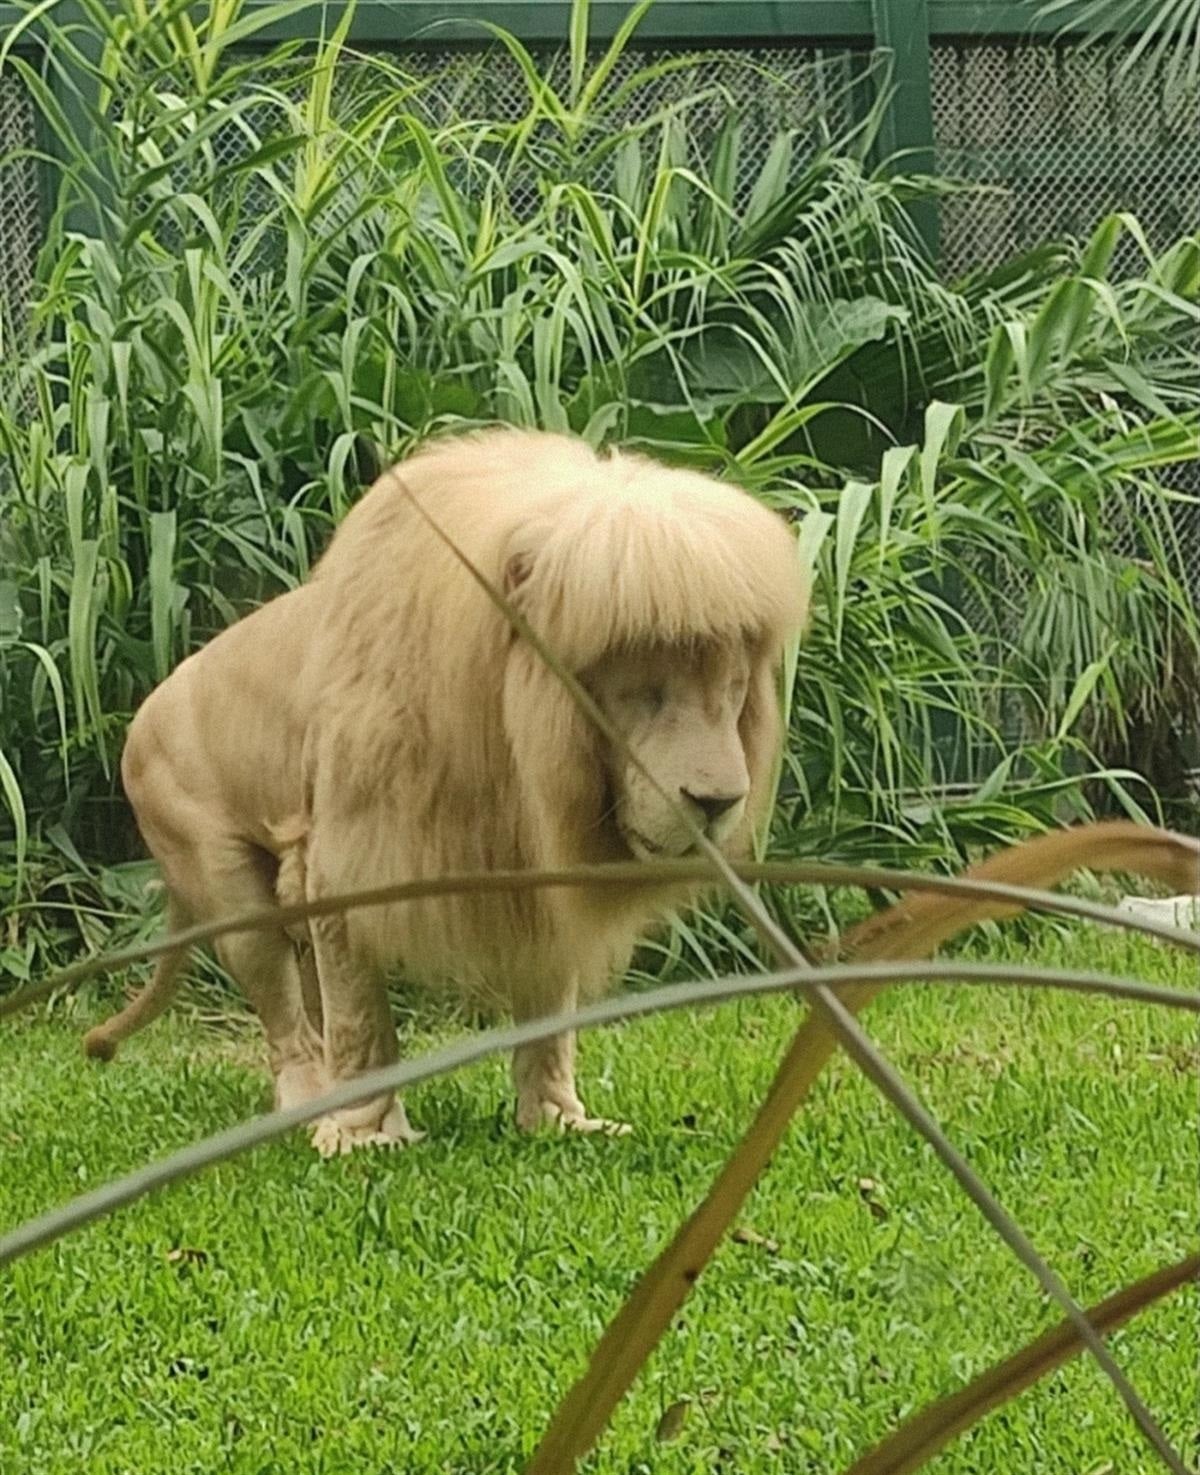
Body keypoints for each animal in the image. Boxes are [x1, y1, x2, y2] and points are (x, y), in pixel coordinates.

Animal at [84, 427, 813, 1150]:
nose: (719, 802)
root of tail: (137, 722)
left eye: (733, 690)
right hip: (226, 881)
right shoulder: (348, 860)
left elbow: (548, 1015)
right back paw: (313, 1106)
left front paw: (558, 1120)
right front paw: (365, 1136)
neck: (516, 754)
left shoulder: (537, 874)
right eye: (644, 693)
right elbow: (361, 1017)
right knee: (287, 1017)